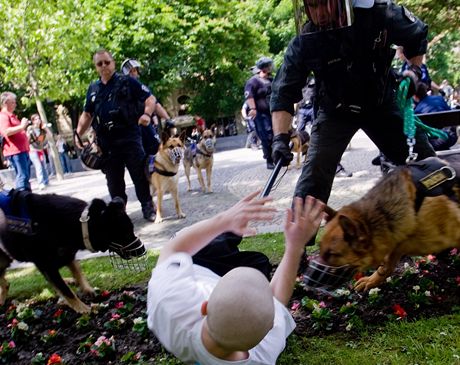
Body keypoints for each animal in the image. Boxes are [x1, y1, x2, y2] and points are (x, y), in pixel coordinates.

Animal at [0, 189, 146, 312]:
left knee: (6, 282)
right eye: (126, 234)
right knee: (5, 282)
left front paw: (87, 289)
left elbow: (78, 272)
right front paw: (83, 309)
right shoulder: (46, 265)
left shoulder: (67, 255)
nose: (143, 250)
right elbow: (66, 291)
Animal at [318, 156, 460, 290]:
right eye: (320, 248)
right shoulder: (397, 244)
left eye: (332, 254)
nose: (311, 282)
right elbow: (386, 265)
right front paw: (372, 280)